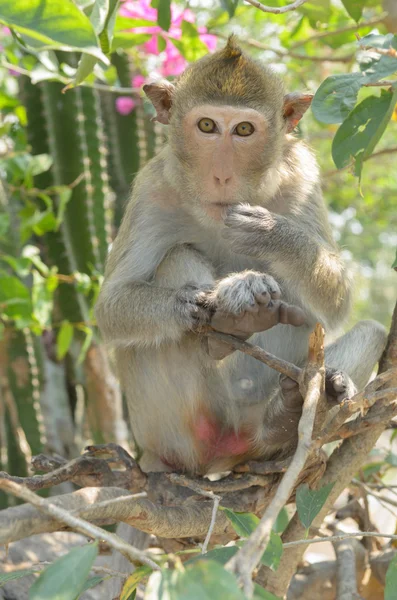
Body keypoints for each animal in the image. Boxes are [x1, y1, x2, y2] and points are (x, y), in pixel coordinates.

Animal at [94, 36, 386, 478]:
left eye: (244, 129)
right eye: (207, 126)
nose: (222, 176)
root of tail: (222, 451)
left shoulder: (302, 175)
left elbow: (337, 301)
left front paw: (270, 233)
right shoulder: (152, 190)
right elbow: (110, 308)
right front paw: (218, 297)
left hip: (251, 425)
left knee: (371, 331)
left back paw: (290, 414)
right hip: (171, 428)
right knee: (176, 260)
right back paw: (229, 323)